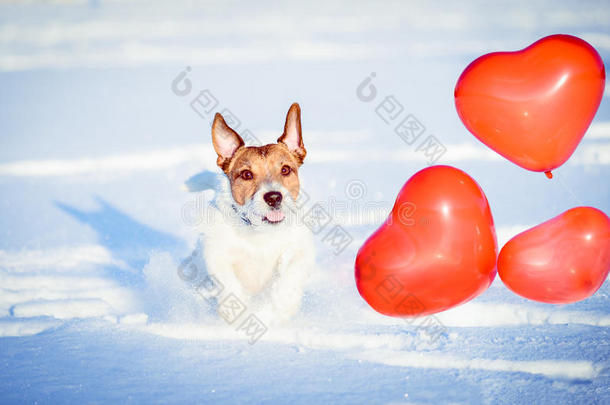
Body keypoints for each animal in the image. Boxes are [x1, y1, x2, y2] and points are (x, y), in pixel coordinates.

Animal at [198, 102, 314, 324]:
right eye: (246, 174)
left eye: (285, 170)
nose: (274, 197)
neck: (261, 233)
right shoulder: (217, 254)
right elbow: (229, 282)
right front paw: (234, 311)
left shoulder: (300, 250)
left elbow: (289, 275)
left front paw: (280, 307)